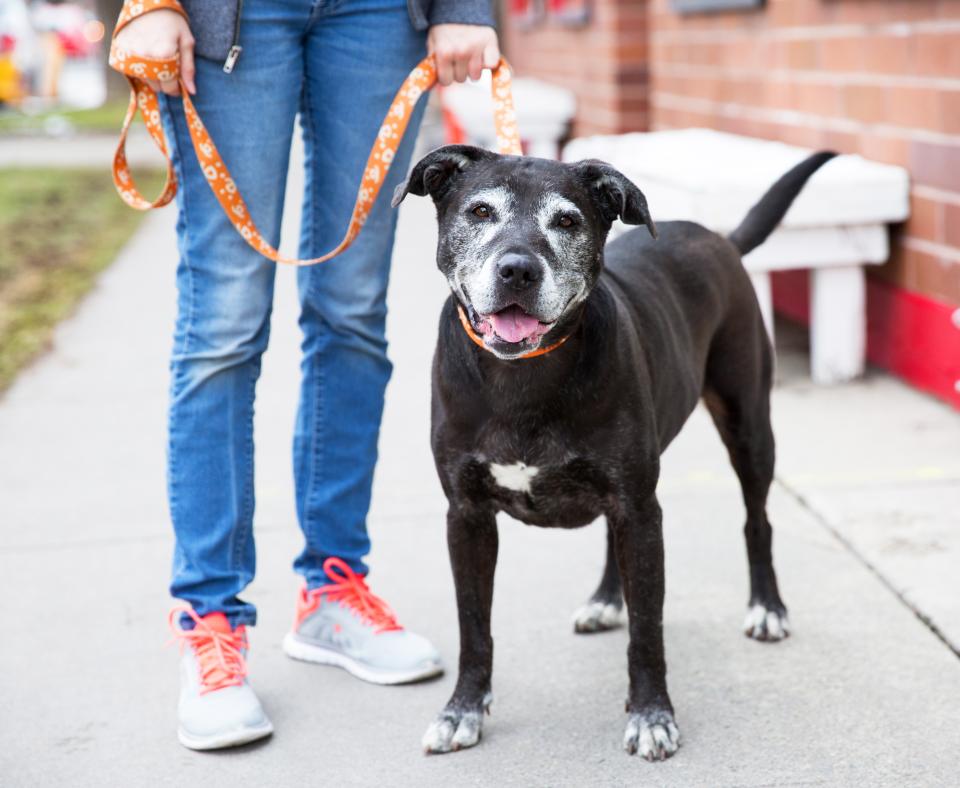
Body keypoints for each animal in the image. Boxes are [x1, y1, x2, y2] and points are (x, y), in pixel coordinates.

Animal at [394, 145, 836, 760]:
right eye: (480, 211)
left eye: (567, 221)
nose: (518, 269)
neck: (523, 377)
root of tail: (718, 238)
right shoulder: (467, 516)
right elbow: (473, 625)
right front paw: (462, 711)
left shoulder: (641, 511)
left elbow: (648, 629)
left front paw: (652, 715)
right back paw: (607, 599)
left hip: (748, 426)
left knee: (757, 519)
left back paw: (767, 608)